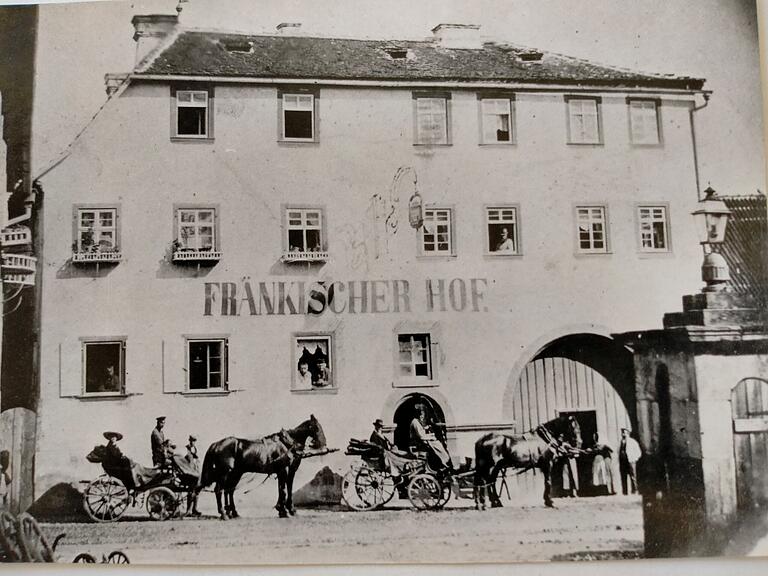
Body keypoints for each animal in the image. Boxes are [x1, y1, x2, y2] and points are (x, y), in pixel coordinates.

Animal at [196, 414, 326, 516]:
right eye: (317, 428)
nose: (323, 444)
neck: (287, 444)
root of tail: (216, 444)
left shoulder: (289, 470)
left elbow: (287, 487)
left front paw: (287, 509)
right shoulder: (283, 470)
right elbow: (283, 489)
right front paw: (284, 510)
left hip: (235, 473)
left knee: (229, 490)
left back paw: (232, 512)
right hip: (224, 473)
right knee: (219, 490)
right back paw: (224, 513)